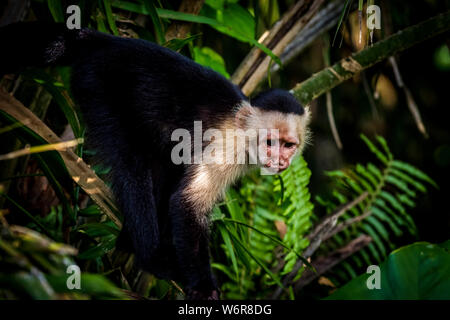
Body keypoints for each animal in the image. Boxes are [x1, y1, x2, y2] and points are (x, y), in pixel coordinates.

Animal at [0, 22, 310, 300]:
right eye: (270, 142)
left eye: (288, 145)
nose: (280, 159)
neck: (243, 133)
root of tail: (108, 41)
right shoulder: (226, 147)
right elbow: (187, 203)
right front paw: (203, 286)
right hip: (99, 86)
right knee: (132, 165)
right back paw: (150, 256)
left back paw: (129, 242)